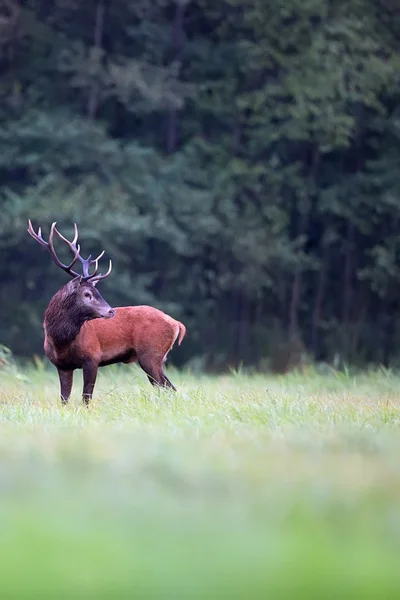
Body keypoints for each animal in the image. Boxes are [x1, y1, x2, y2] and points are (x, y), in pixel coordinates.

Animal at [26, 221, 186, 408]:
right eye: (87, 293)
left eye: (98, 292)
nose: (111, 310)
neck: (60, 342)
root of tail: (176, 324)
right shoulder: (62, 366)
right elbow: (64, 399)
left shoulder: (92, 357)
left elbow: (86, 397)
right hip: (157, 357)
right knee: (170, 388)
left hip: (151, 354)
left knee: (165, 387)